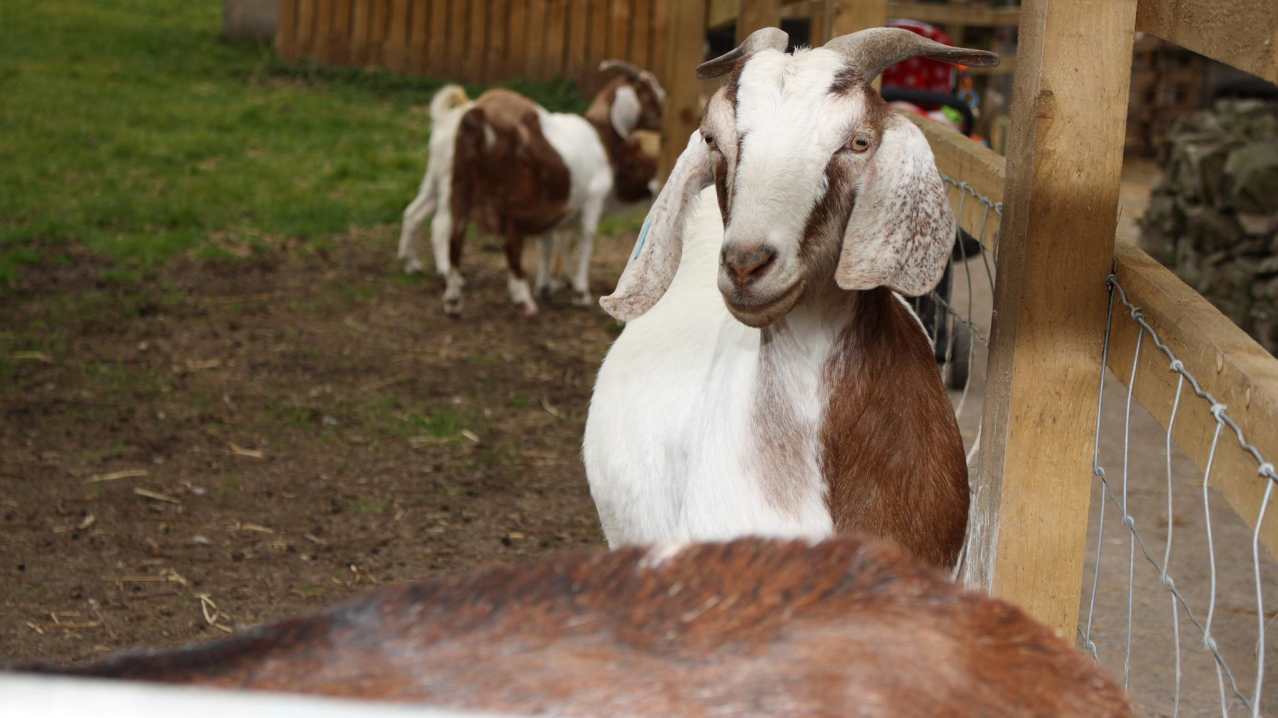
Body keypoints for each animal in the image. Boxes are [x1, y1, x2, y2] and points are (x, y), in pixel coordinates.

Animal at [397, 62, 664, 317]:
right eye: (649, 94)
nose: (663, 117)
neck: (601, 136)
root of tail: (475, 114)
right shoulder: (591, 199)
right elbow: (585, 237)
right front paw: (580, 292)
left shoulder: (559, 205)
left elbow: (551, 240)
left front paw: (548, 285)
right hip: (503, 194)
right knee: (484, 235)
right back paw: (520, 298)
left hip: (456, 182)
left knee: (444, 229)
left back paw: (445, 292)